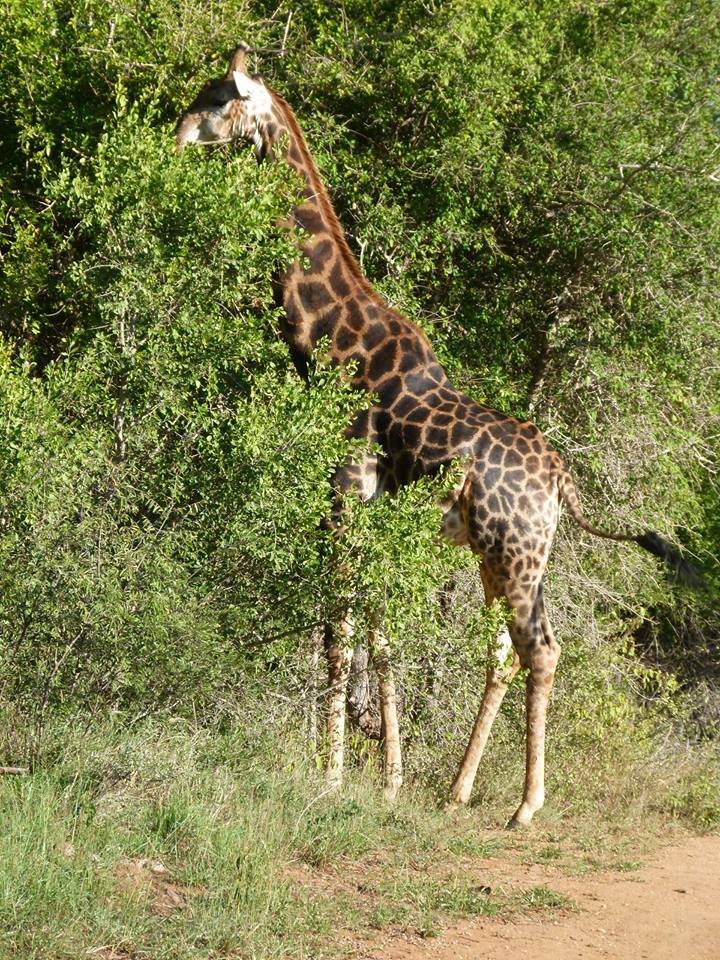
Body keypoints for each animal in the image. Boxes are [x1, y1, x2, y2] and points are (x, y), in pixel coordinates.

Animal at [174, 43, 692, 824]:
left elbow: (338, 634)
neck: (331, 343)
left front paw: (330, 778)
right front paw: (385, 779)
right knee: (516, 650)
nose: (175, 134)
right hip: (507, 555)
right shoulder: (374, 513)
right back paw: (458, 790)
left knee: (537, 649)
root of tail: (563, 480)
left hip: (513, 554)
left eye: (216, 99)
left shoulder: (343, 494)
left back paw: (524, 806)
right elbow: (381, 635)